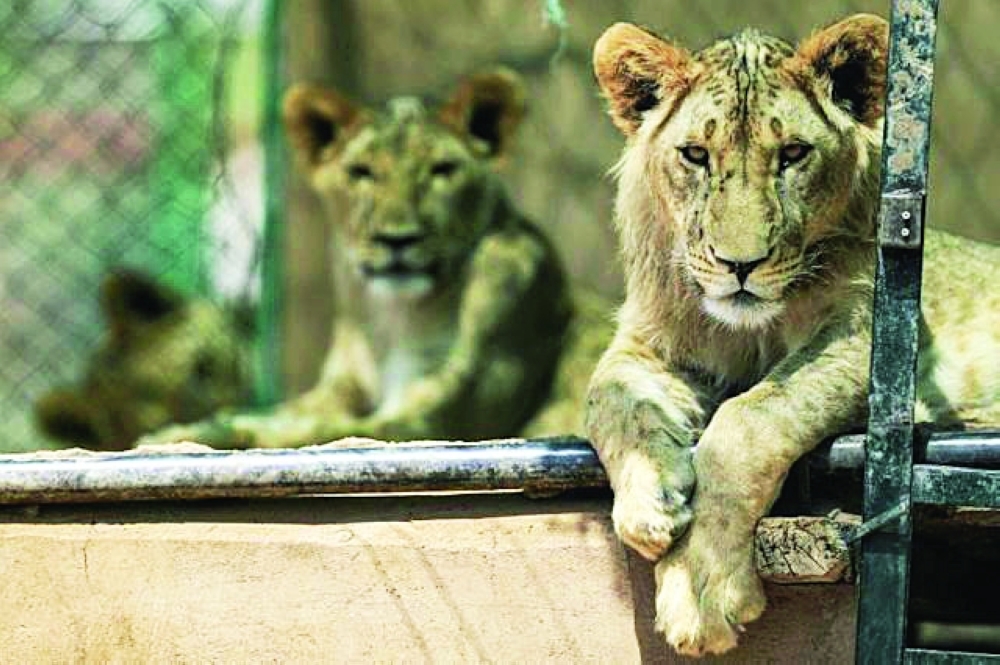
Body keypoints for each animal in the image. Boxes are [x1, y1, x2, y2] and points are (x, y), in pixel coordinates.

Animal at [140, 69, 611, 448]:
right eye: (361, 172)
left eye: (441, 170)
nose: (396, 239)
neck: (397, 318)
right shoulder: (341, 387)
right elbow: (280, 415)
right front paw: (192, 428)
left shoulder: (434, 419)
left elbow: (321, 431)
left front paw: (187, 436)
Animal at [585, 14, 1000, 657]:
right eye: (696, 155)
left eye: (793, 154)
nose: (740, 265)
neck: (749, 332)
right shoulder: (652, 341)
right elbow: (607, 394)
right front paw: (650, 499)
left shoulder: (874, 340)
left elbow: (749, 417)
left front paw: (700, 589)